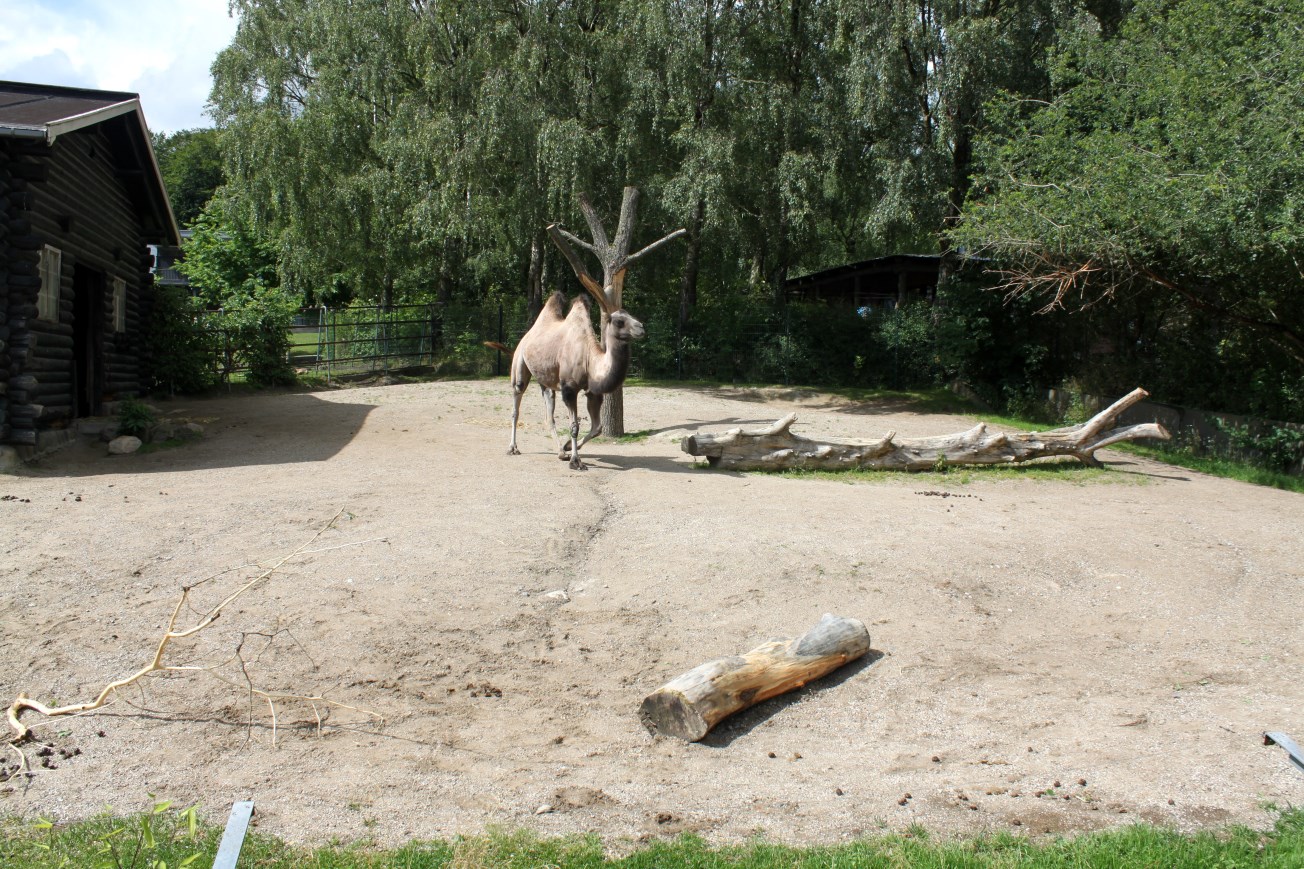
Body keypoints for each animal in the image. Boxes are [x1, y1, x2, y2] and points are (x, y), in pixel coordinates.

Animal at [492, 289, 645, 470]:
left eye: (630, 315)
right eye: (620, 321)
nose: (641, 327)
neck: (588, 358)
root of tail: (527, 335)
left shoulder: (593, 393)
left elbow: (597, 427)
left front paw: (567, 448)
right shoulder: (569, 389)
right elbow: (574, 426)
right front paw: (576, 461)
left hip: (546, 381)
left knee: (549, 414)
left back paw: (560, 452)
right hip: (520, 361)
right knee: (516, 402)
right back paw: (513, 448)